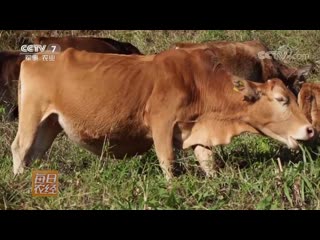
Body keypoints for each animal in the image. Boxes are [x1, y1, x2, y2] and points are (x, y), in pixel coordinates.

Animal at [11, 47, 314, 179]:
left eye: (292, 96)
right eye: (281, 100)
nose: (310, 129)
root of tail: (33, 56)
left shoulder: (197, 130)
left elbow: (208, 162)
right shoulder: (161, 125)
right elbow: (169, 164)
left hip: (51, 123)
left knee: (35, 153)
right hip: (32, 115)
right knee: (20, 148)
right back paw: (18, 182)